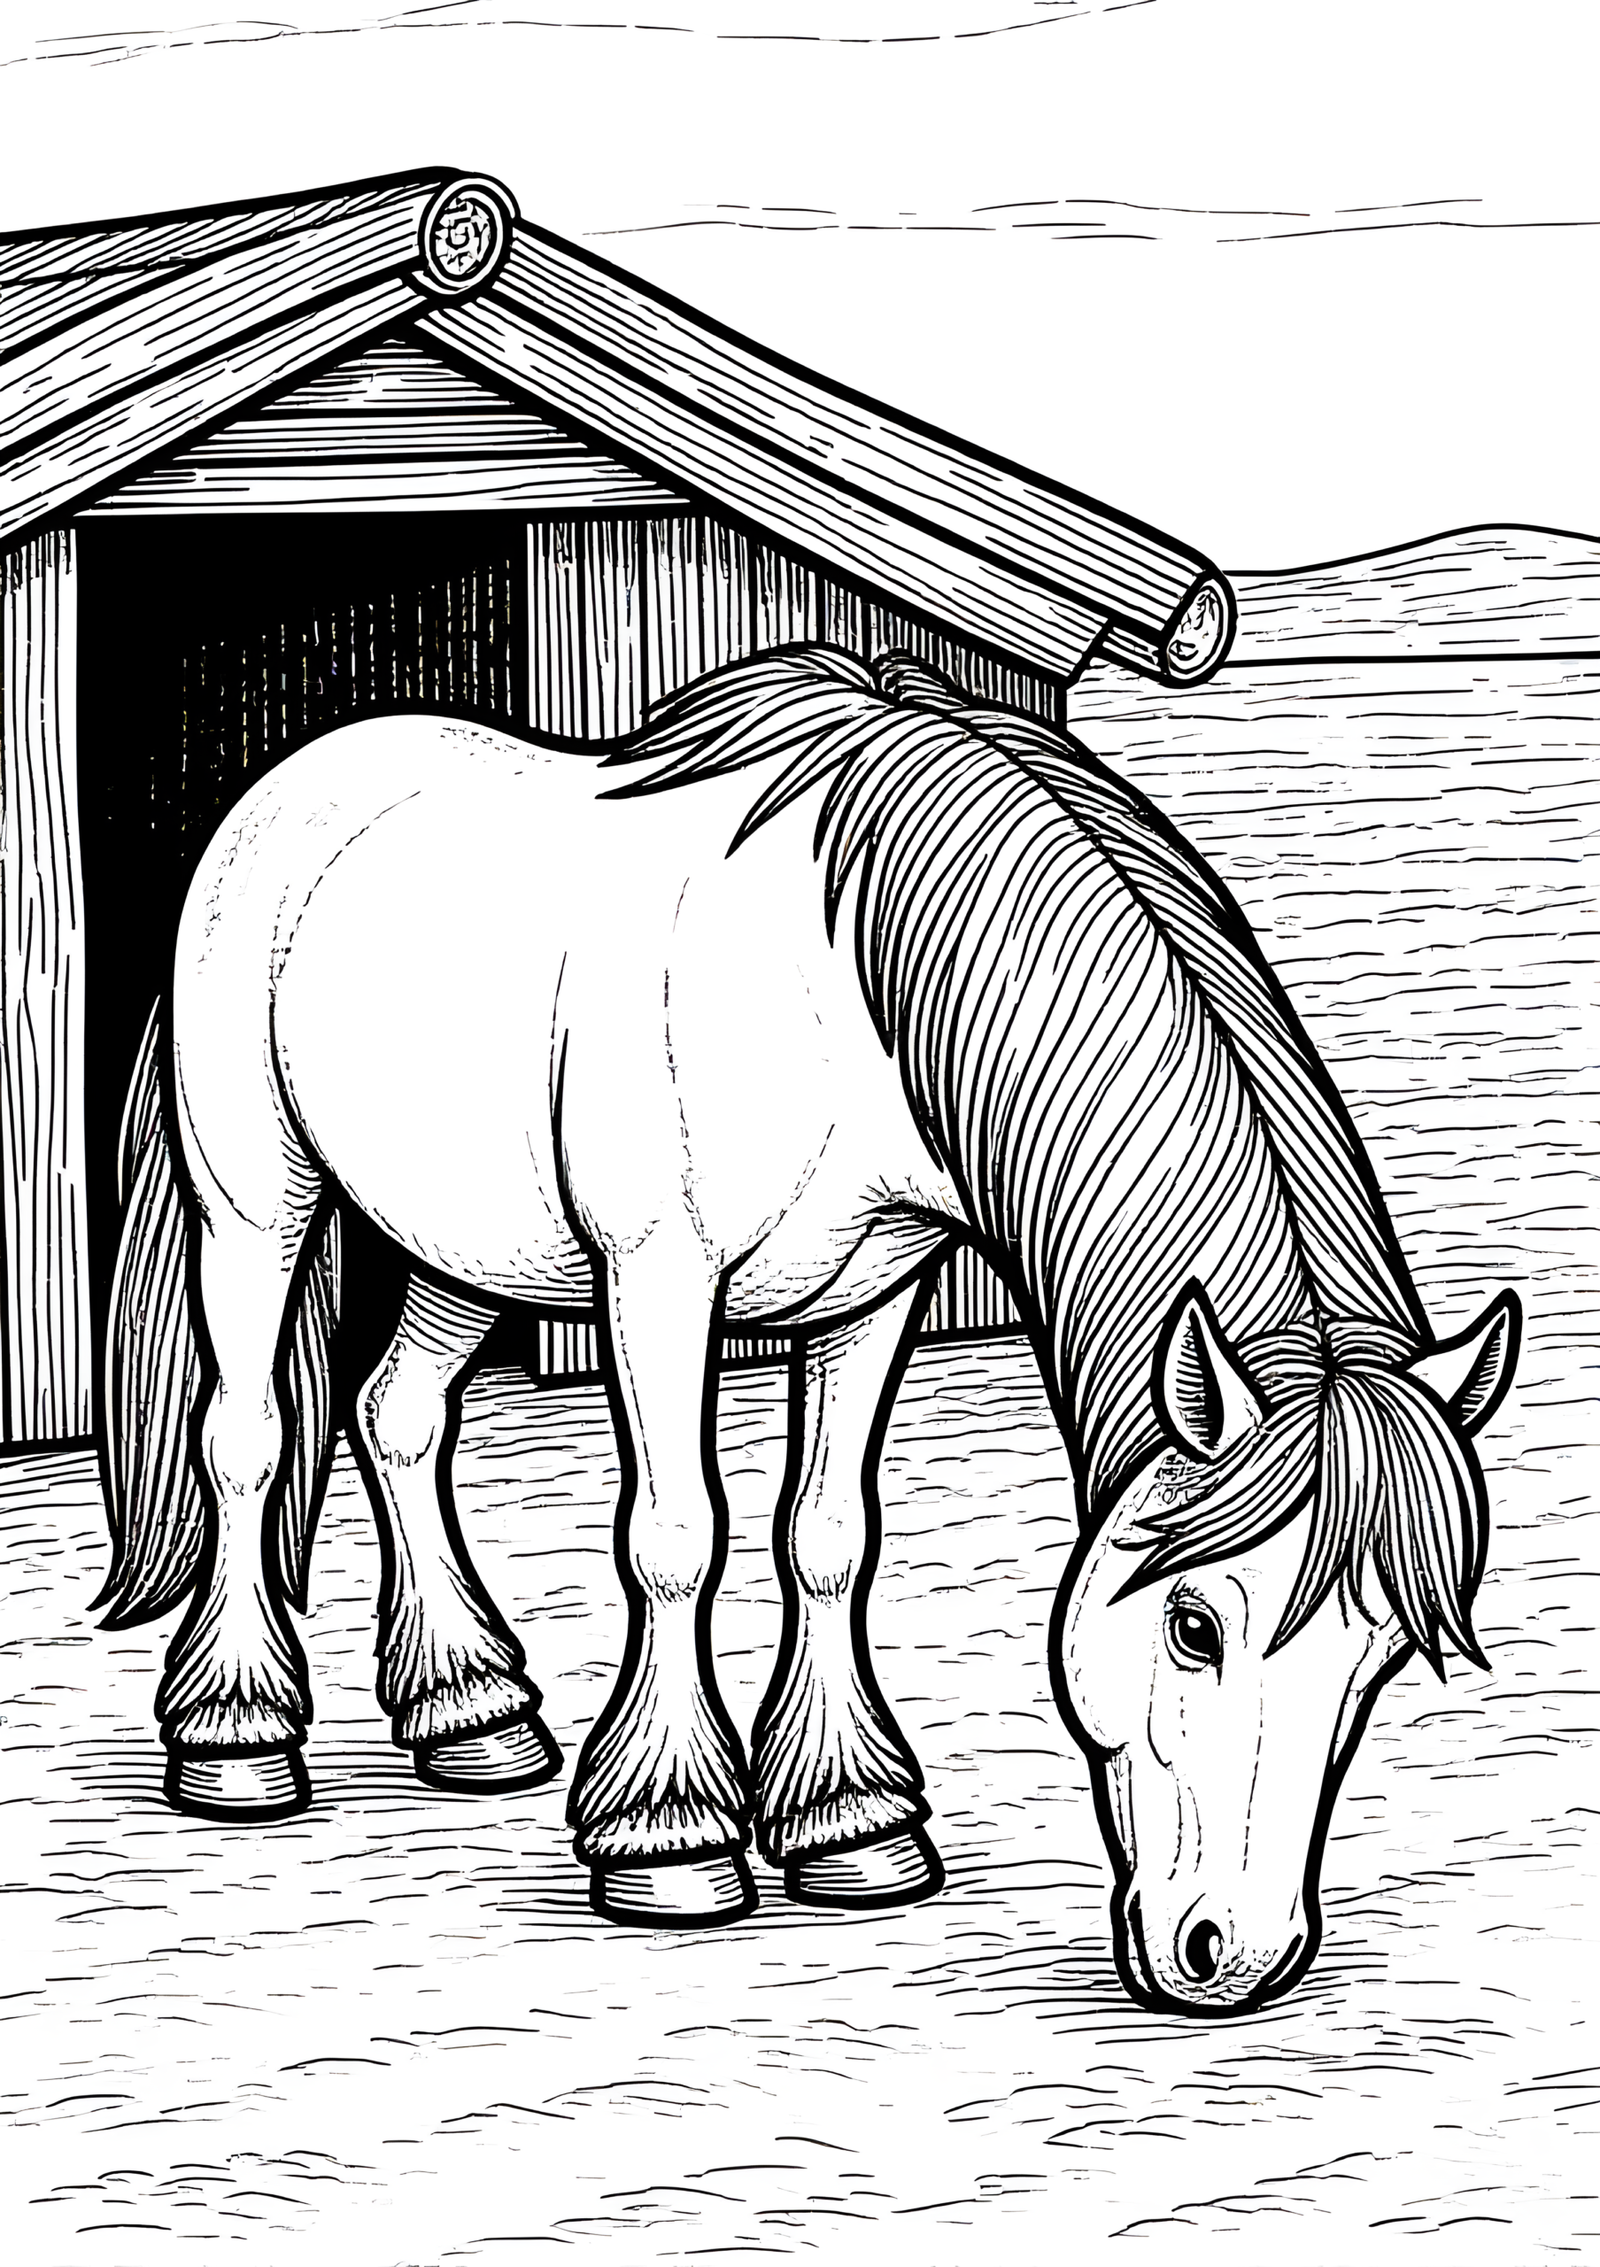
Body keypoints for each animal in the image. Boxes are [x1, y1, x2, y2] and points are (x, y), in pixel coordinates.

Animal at [96, 644, 1519, 2016]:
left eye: (1378, 1658)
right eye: (1193, 1624)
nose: (1234, 1955)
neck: (837, 983)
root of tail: (291, 784)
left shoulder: (874, 1288)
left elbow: (829, 1537)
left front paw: (852, 1822)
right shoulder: (657, 1280)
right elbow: (676, 1538)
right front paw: (671, 1836)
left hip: (469, 1247)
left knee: (397, 1416)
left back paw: (471, 1711)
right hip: (257, 1201)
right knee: (247, 1435)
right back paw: (236, 1738)